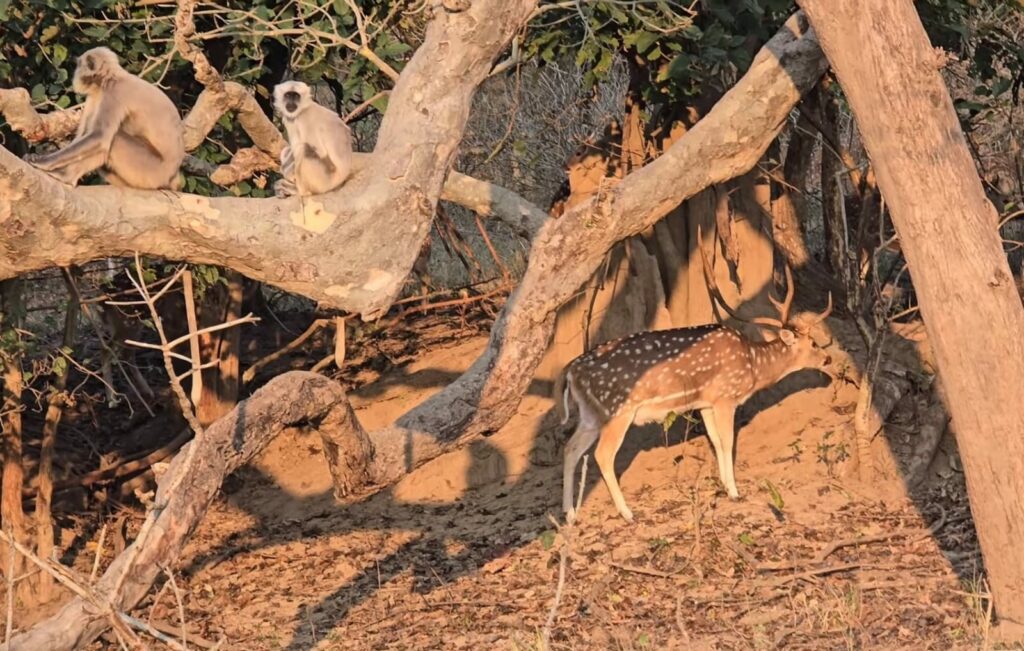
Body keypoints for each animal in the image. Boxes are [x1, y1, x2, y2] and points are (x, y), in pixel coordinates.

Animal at [27, 46, 185, 189]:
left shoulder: (114, 93)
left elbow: (100, 136)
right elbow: (85, 135)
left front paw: (44, 162)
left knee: (113, 139)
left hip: (150, 172)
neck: (110, 77)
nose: (75, 74)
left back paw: (67, 176)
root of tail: (173, 177)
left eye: (79, 65)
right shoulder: (96, 93)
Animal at [561, 239, 831, 524]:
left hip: (592, 414)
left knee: (570, 448)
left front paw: (724, 486)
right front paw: (735, 492)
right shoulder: (725, 397)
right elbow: (727, 441)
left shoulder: (705, 403)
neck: (752, 364)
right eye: (813, 343)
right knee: (602, 454)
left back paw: (569, 514)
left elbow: (715, 440)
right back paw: (627, 513)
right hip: (617, 410)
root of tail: (571, 373)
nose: (827, 359)